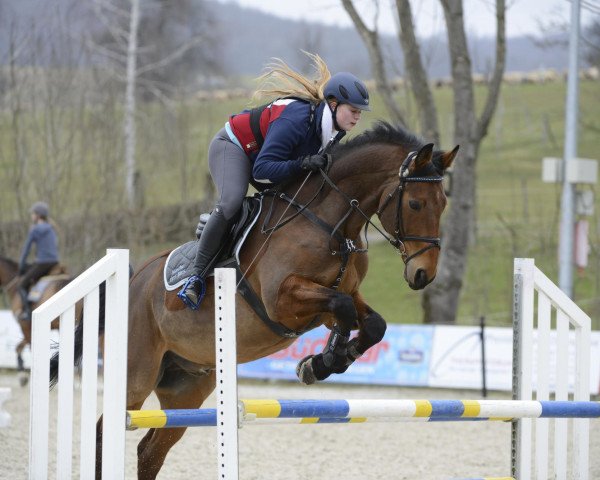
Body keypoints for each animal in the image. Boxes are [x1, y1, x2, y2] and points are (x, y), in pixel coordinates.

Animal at [52, 122, 454, 478]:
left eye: (444, 203)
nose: (423, 274)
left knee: (150, 451)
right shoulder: (283, 301)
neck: (328, 223)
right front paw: (324, 360)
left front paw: (324, 362)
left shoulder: (339, 298)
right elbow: (340, 307)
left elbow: (372, 323)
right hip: (136, 376)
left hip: (186, 387)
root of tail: (133, 279)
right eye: (415, 204)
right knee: (104, 433)